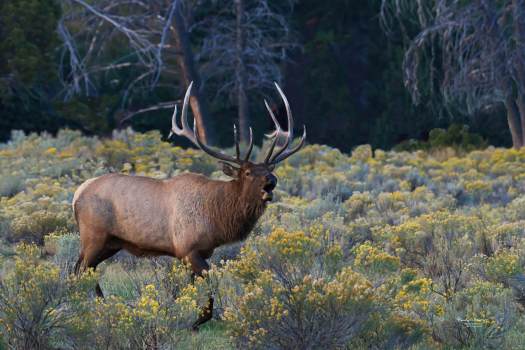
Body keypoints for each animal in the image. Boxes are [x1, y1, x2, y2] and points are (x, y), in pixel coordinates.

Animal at [71, 81, 304, 328]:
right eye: (248, 172)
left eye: (269, 170)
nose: (271, 182)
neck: (216, 216)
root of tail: (77, 194)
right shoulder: (187, 248)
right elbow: (209, 282)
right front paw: (199, 319)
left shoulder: (200, 252)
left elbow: (191, 287)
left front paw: (189, 315)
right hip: (94, 236)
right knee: (79, 270)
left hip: (111, 243)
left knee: (85, 270)